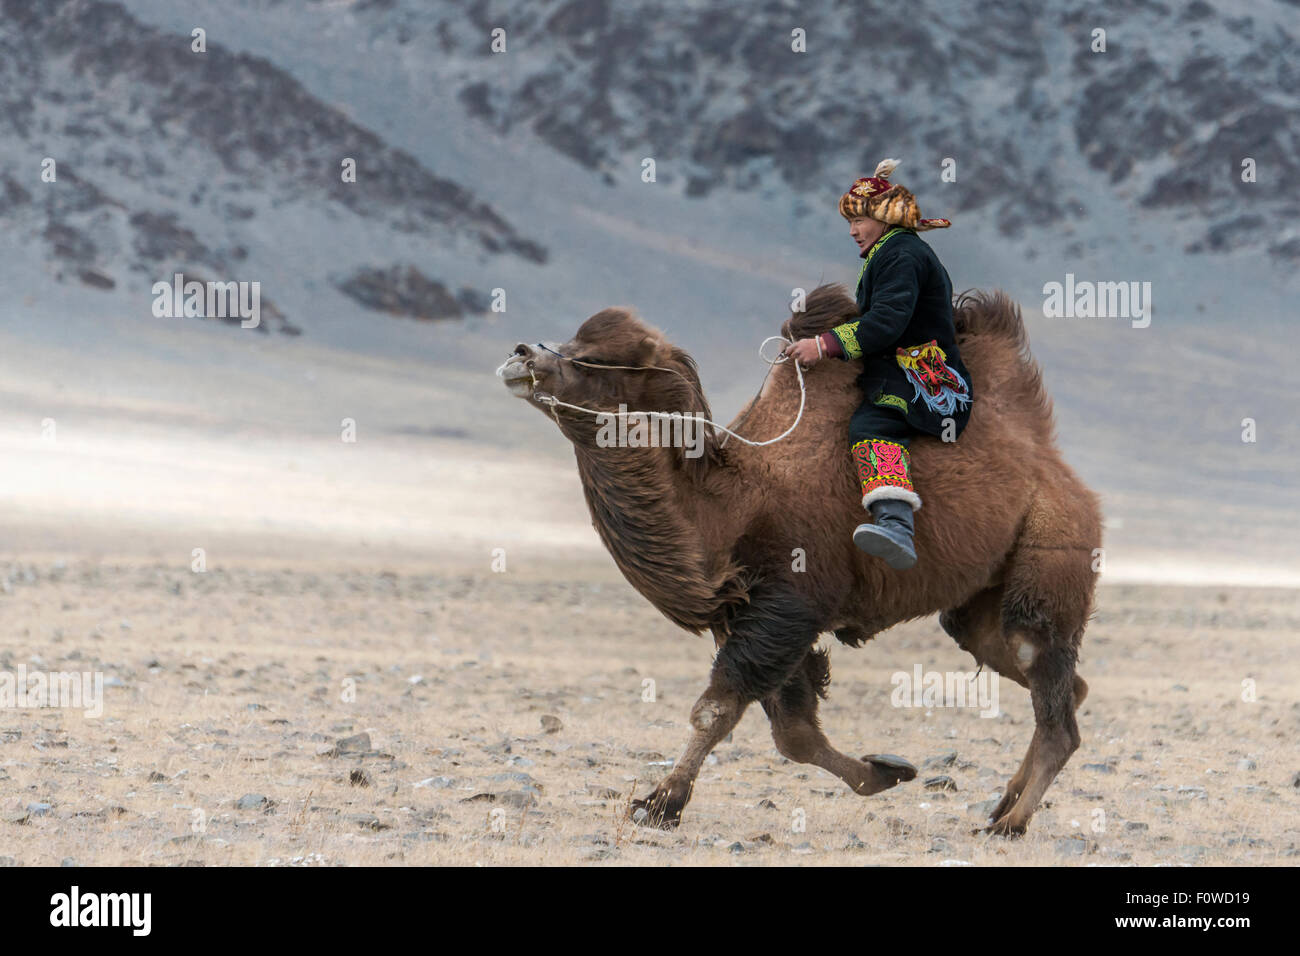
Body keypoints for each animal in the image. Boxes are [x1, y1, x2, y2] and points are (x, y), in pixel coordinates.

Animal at [497, 284, 1102, 836]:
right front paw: (886, 771)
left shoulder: (789, 606)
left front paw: (660, 804)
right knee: (1053, 681)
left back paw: (1011, 822)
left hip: (1048, 557)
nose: (520, 354)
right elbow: (794, 735)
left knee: (1052, 699)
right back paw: (1004, 803)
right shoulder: (746, 615)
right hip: (978, 605)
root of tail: (1064, 476)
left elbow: (717, 711)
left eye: (595, 358)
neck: (732, 504)